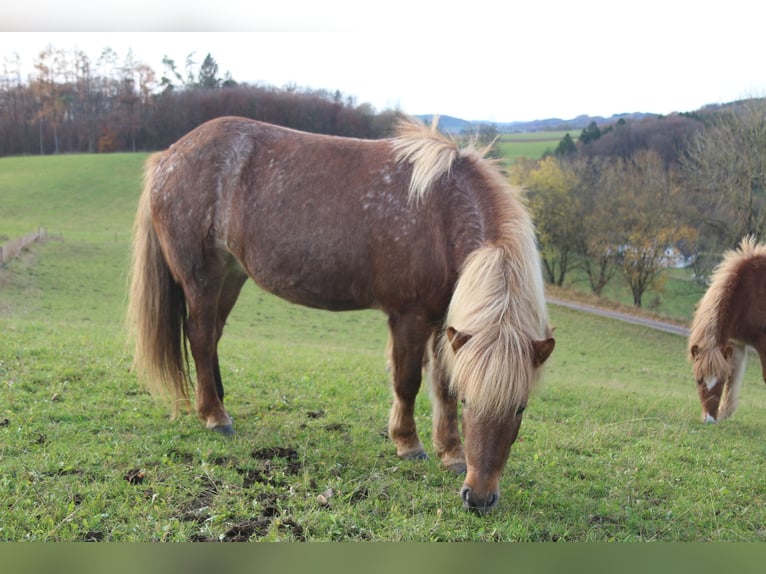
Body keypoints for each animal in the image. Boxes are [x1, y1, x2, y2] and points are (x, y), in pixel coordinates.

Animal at [127, 115, 555, 514]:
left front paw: (450, 453)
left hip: (231, 275)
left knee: (212, 335)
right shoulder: (409, 316)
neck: (441, 213)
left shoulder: (443, 321)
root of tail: (169, 156)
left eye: (520, 407)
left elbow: (442, 384)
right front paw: (408, 443)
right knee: (199, 337)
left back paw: (218, 399)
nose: (479, 498)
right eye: (471, 403)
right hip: (202, 277)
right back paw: (215, 416)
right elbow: (408, 382)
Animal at [688, 236, 766, 423]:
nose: (709, 420)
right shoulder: (736, 343)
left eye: (720, 381)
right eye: (698, 380)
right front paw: (725, 414)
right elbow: (734, 376)